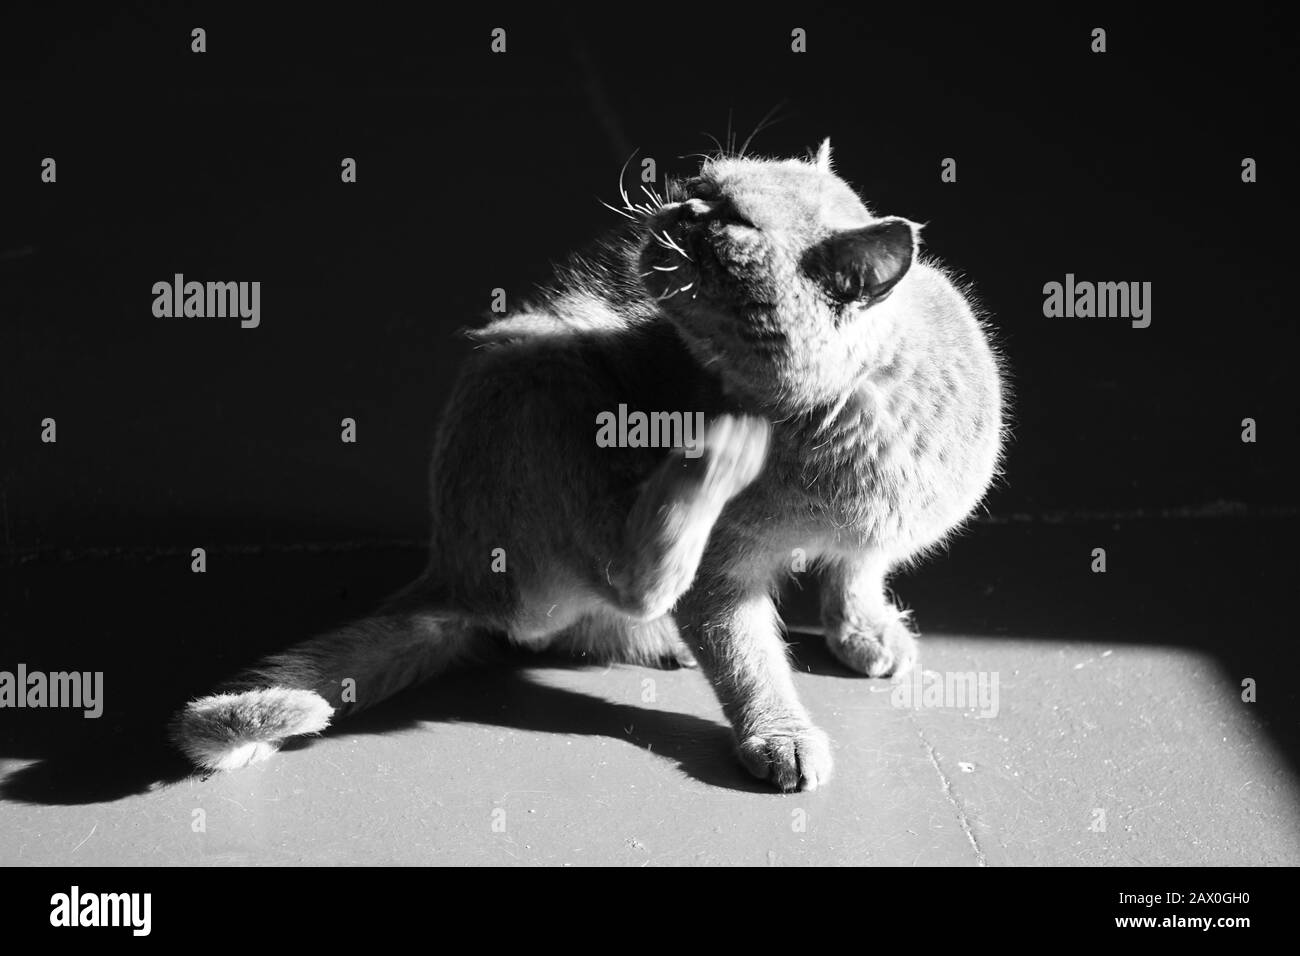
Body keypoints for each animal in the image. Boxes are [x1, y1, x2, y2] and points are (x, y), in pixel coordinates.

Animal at [172, 136, 1003, 790]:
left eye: (731, 221)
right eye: (704, 181)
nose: (676, 203)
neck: (842, 433)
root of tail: (447, 573)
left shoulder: (882, 535)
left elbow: (857, 570)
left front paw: (864, 630)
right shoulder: (724, 576)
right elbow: (748, 661)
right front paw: (781, 736)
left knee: (568, 627)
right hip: (543, 370)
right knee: (615, 589)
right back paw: (709, 468)